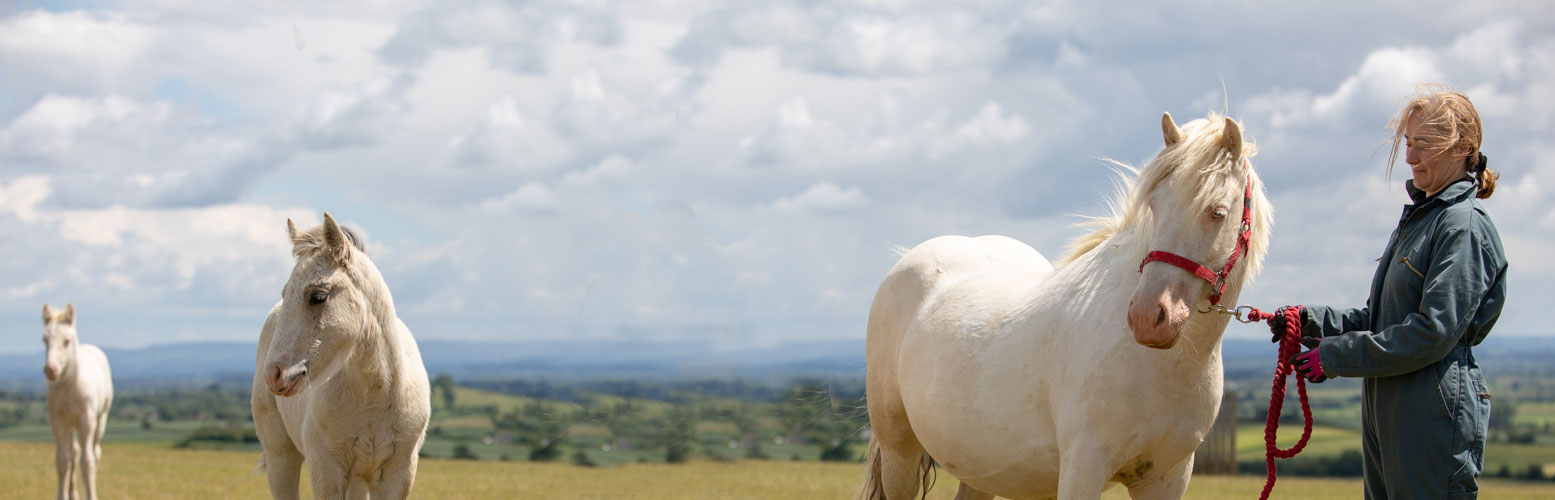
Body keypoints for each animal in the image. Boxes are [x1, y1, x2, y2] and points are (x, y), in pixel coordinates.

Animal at [40, 302, 113, 500]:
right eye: (45, 340)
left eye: (66, 341)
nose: (51, 370)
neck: (69, 386)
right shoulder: (57, 420)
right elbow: (62, 460)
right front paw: (62, 496)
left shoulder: (86, 420)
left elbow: (87, 462)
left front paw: (92, 495)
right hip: (70, 424)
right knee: (74, 452)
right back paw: (73, 494)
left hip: (100, 418)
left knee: (95, 452)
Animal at [864, 113, 1275, 500]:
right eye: (1154, 206)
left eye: (1217, 212)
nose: (1147, 318)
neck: (1160, 366)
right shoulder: (1084, 468)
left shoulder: (1167, 478)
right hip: (899, 451)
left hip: (980, 466)